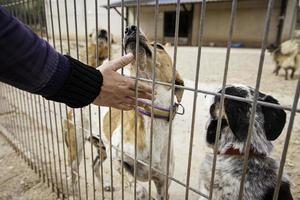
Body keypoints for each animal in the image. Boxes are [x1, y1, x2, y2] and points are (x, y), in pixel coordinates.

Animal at [102, 25, 184, 200]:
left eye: (159, 46)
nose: (129, 28)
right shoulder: (117, 158)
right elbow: (135, 185)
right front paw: (141, 192)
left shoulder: (163, 184)